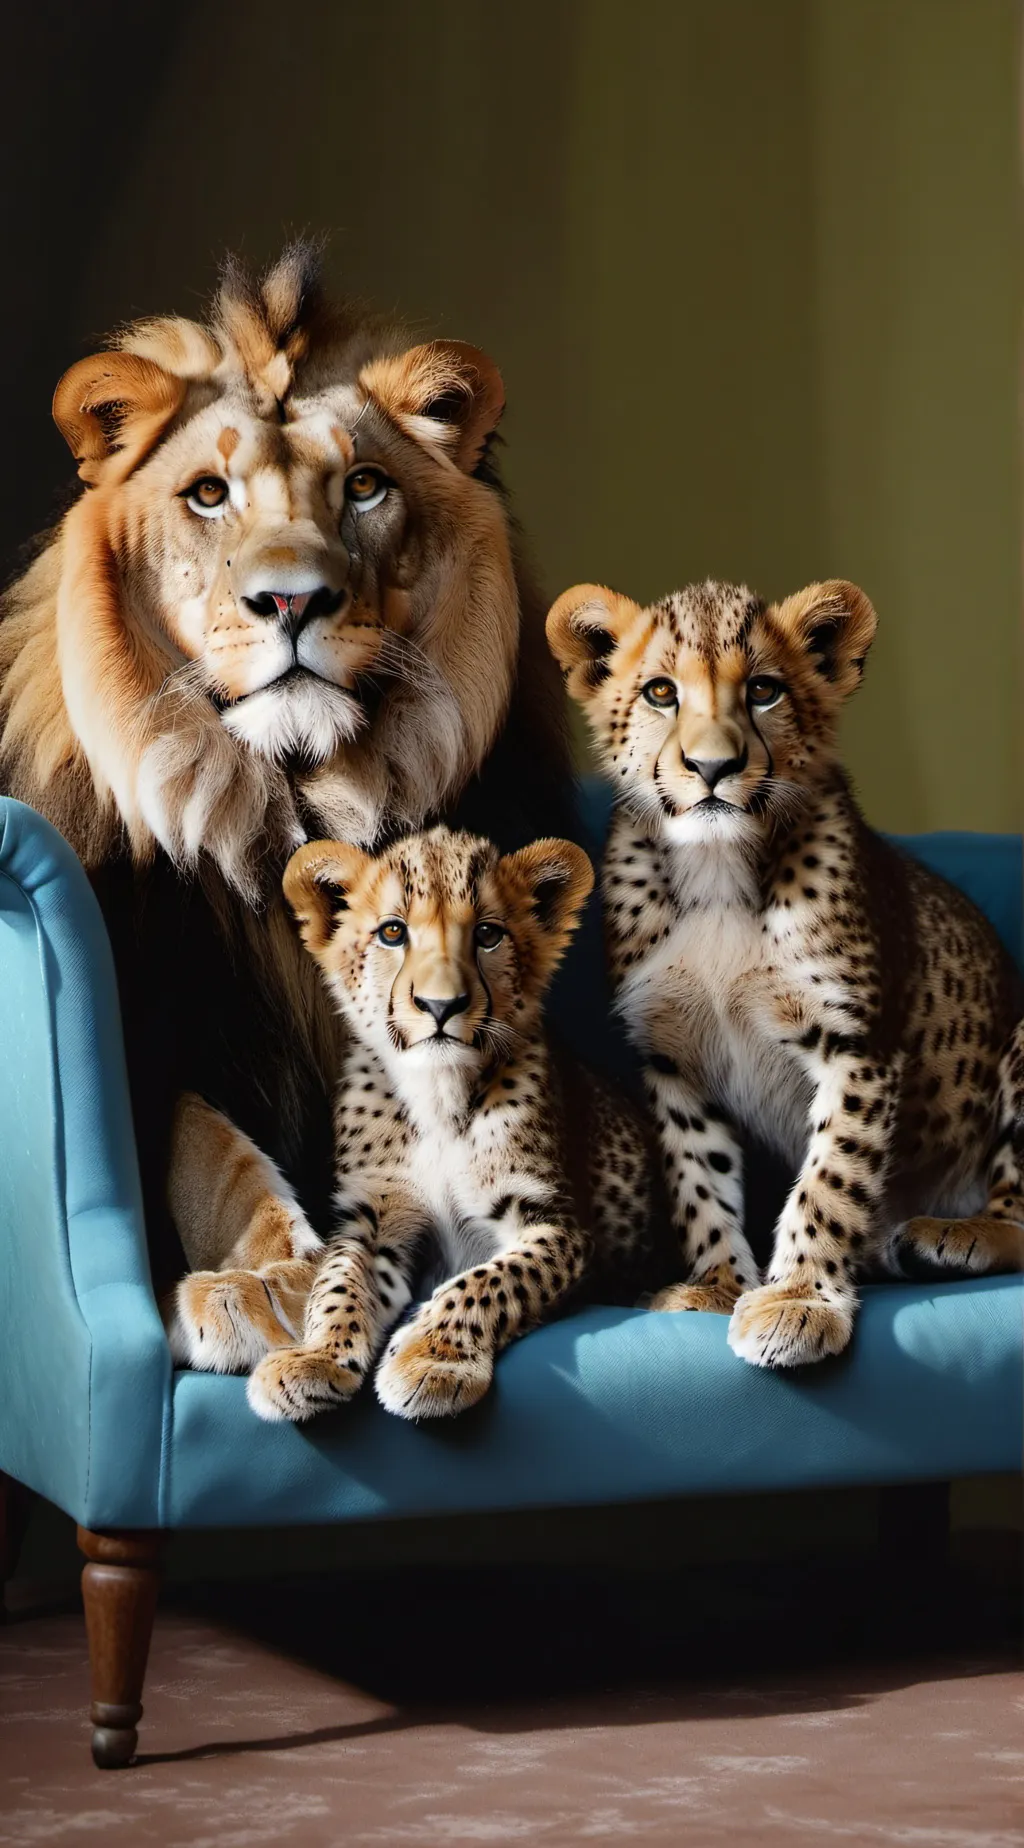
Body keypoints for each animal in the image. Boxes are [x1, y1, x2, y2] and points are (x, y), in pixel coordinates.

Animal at [0, 243, 569, 1371]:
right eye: (209, 494)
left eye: (364, 486)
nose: (291, 600)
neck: (297, 801)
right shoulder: (166, 1026)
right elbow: (208, 1151)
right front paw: (266, 1282)